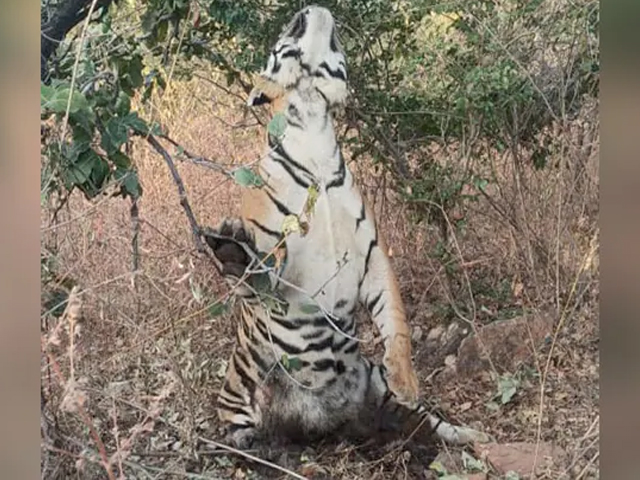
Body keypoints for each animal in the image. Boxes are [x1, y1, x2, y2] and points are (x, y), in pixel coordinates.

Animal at [203, 5, 490, 450]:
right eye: (289, 28)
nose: (310, 8)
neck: (314, 129)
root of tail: (328, 426)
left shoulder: (373, 255)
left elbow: (397, 320)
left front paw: (406, 376)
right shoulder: (276, 263)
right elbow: (255, 275)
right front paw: (231, 249)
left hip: (376, 384)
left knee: (429, 423)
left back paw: (471, 436)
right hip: (237, 398)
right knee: (244, 432)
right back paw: (260, 446)